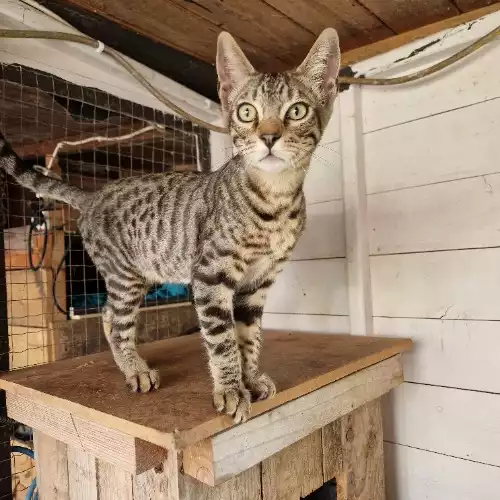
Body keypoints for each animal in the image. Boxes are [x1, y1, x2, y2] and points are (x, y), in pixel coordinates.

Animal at [0, 29, 340, 422]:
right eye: (246, 112)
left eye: (297, 111)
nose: (268, 137)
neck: (274, 201)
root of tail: (92, 194)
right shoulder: (210, 275)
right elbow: (223, 340)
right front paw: (230, 390)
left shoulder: (258, 282)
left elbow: (248, 336)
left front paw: (250, 378)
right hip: (125, 276)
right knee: (116, 320)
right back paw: (135, 369)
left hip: (142, 273)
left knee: (109, 314)